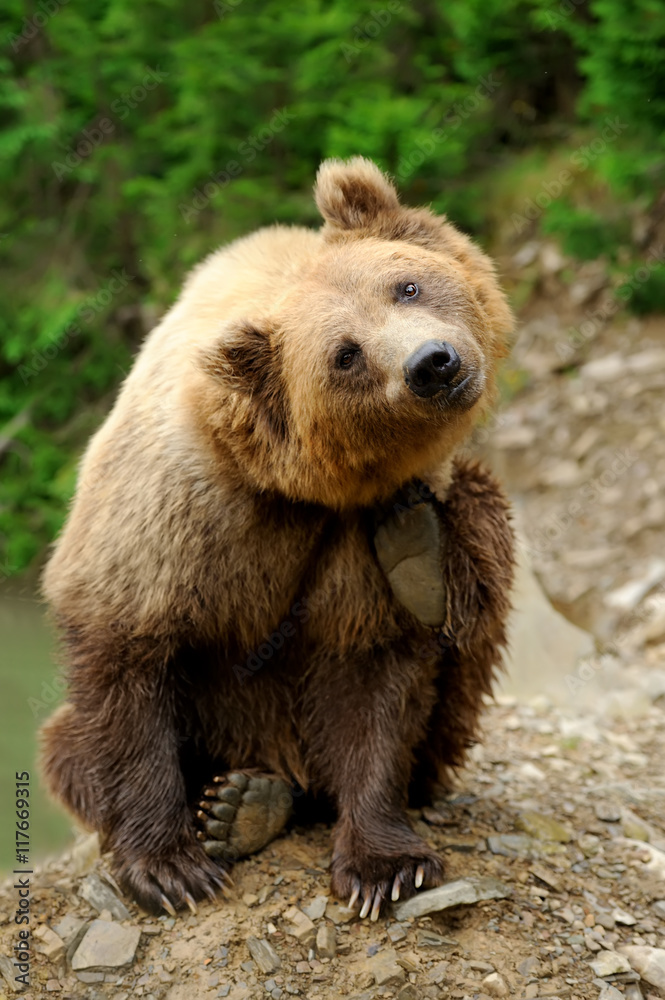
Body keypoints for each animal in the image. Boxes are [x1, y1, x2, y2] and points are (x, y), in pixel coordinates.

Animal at [40, 157, 515, 920]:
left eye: (405, 285)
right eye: (345, 355)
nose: (431, 362)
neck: (292, 483)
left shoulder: (357, 534)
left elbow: (378, 678)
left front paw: (384, 867)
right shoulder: (170, 517)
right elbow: (125, 658)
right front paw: (170, 868)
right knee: (66, 746)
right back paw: (236, 803)